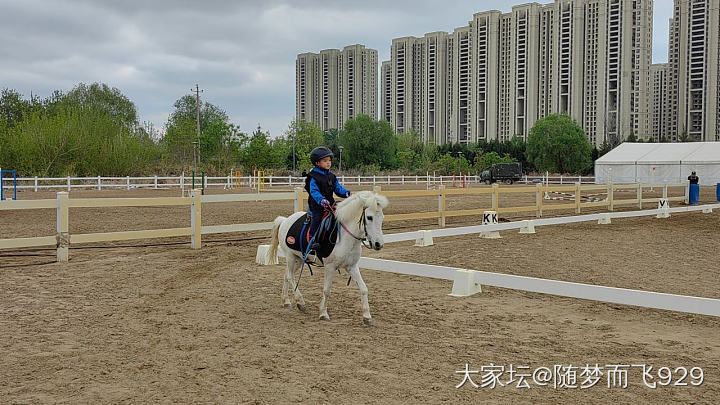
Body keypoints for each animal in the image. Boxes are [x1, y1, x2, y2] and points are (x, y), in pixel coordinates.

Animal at [266, 190, 388, 326]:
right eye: (369, 217)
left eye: (382, 217)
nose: (378, 244)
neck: (345, 237)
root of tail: (285, 220)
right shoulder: (330, 267)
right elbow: (327, 290)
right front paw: (323, 314)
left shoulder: (352, 266)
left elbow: (364, 288)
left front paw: (367, 316)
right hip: (290, 257)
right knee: (290, 277)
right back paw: (300, 302)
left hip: (298, 259)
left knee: (286, 275)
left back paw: (286, 301)